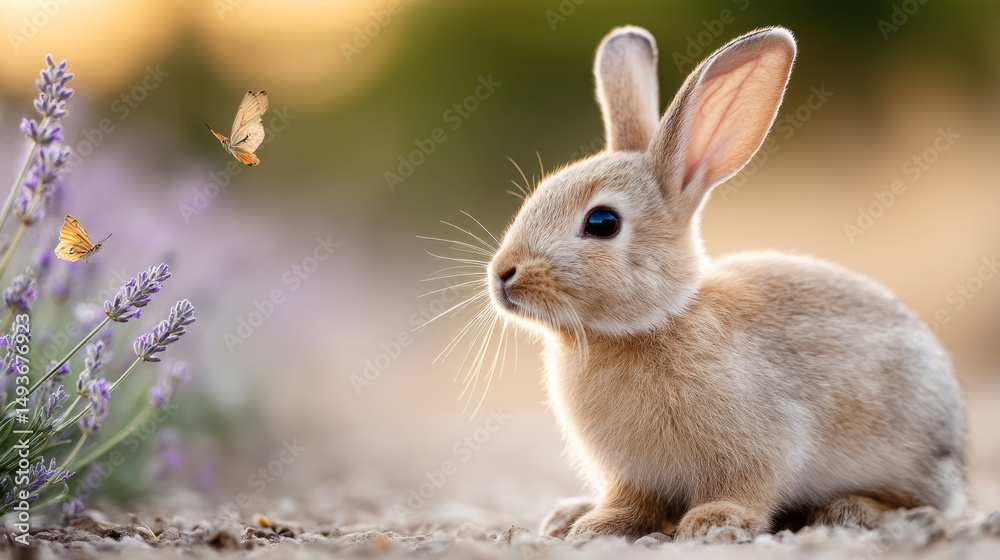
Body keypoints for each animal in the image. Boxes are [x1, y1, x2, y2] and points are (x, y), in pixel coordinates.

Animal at [484, 25, 966, 541]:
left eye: (602, 222)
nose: (503, 275)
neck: (652, 321)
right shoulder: (632, 476)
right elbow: (629, 502)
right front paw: (596, 526)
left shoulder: (764, 443)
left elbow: (747, 486)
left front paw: (715, 522)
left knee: (920, 503)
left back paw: (849, 510)